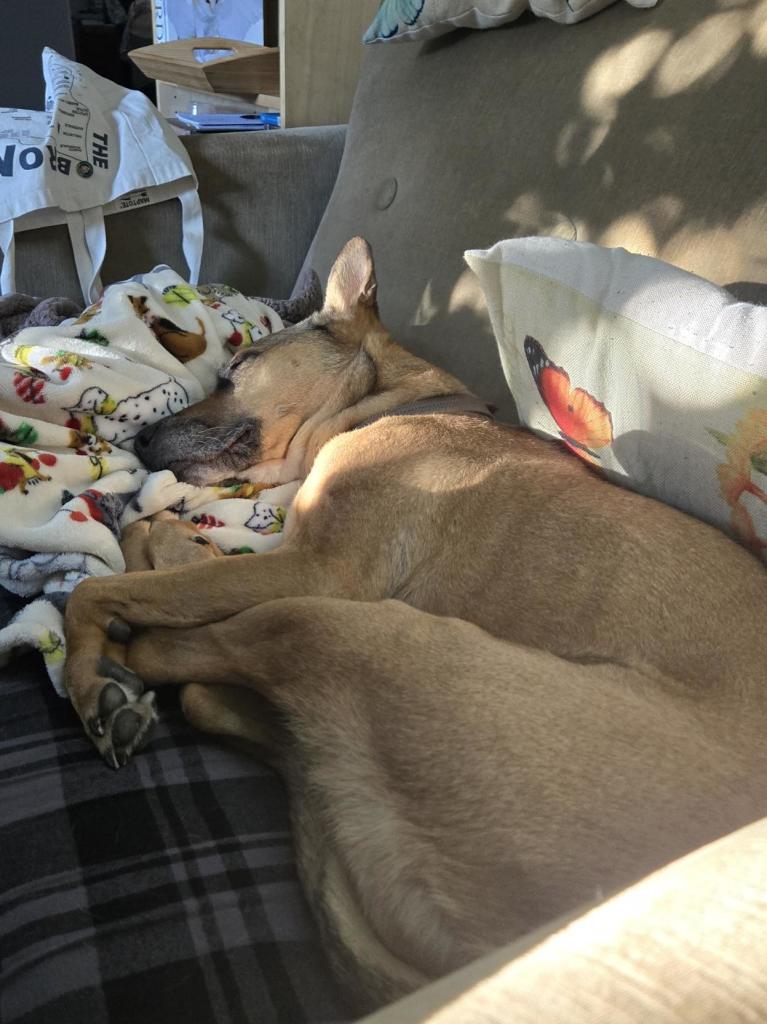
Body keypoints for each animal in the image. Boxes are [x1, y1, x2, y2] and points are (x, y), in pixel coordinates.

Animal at [62, 239, 765, 1015]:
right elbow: (149, 555)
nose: (141, 437)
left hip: (347, 628)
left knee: (182, 658)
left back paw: (128, 676)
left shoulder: (316, 571)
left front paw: (88, 676)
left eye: (237, 369)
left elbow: (96, 591)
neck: (396, 407)